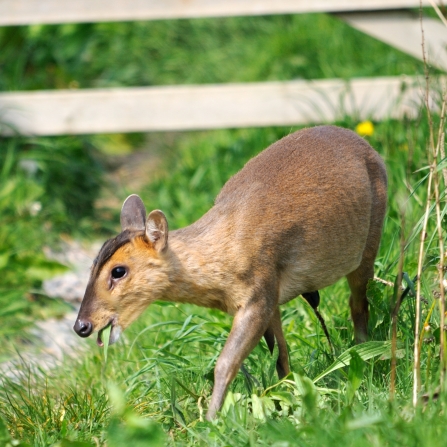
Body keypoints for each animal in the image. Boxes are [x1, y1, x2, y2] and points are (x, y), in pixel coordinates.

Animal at [74, 125, 388, 420]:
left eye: (118, 271)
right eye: (91, 265)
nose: (81, 325)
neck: (221, 258)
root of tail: (369, 146)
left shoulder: (258, 293)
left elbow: (226, 362)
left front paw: (210, 421)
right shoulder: (270, 296)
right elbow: (280, 354)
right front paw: (286, 396)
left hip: (370, 240)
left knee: (359, 302)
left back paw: (364, 356)